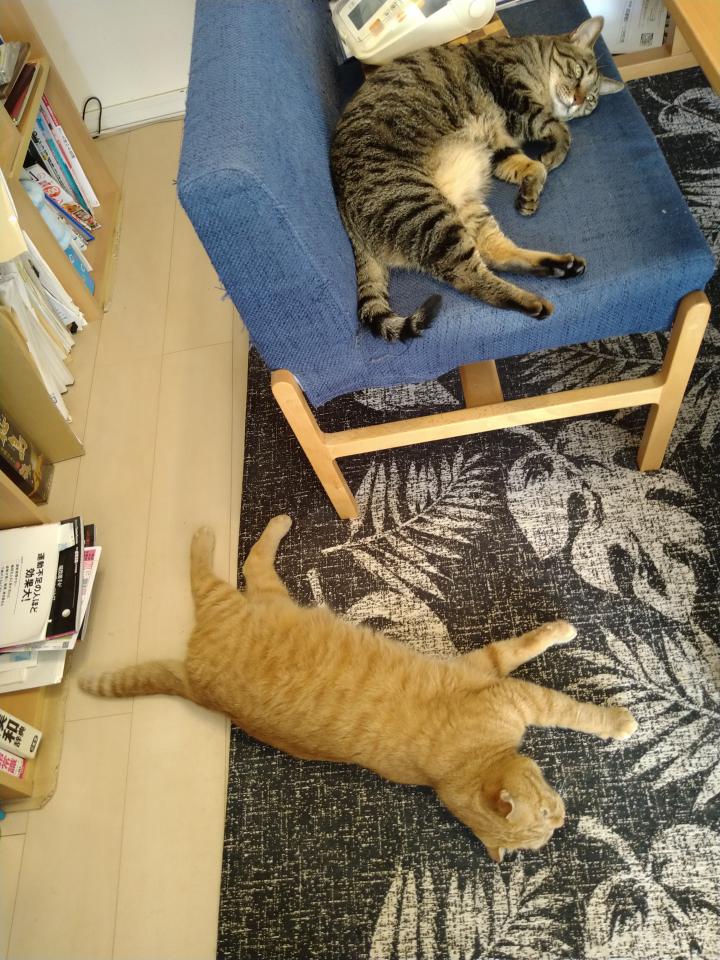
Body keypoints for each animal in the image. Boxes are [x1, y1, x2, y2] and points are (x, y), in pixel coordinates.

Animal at [79, 514, 637, 861]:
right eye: (543, 816)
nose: (562, 821)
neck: (454, 768)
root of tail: (197, 688)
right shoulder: (504, 683)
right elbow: (565, 698)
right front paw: (617, 719)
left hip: (263, 601)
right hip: (249, 599)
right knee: (226, 565)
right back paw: (226, 531)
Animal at [330, 16, 624, 341]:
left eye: (592, 98)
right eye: (577, 73)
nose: (578, 99)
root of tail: (350, 229)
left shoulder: (498, 145)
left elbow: (531, 165)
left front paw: (530, 191)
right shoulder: (514, 92)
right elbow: (557, 132)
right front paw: (554, 154)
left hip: (461, 209)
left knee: (494, 252)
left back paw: (559, 266)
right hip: (424, 213)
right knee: (469, 276)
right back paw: (532, 300)